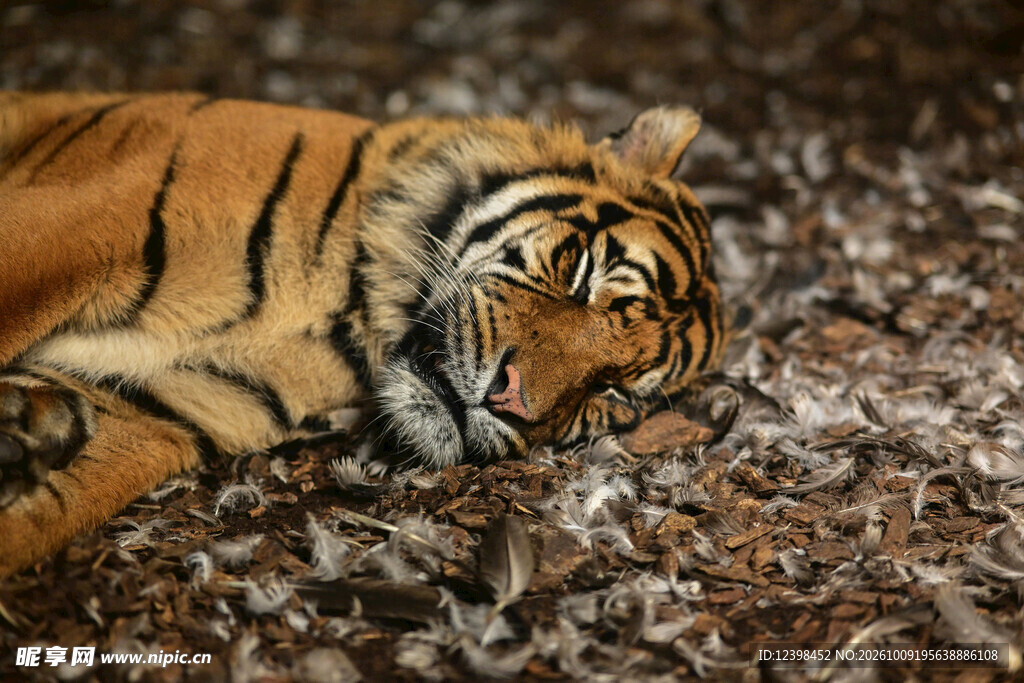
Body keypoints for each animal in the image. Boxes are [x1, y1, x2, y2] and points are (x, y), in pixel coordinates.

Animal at [0, 92, 726, 577]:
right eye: (581, 275)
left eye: (613, 392)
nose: (511, 402)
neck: (344, 316)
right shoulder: (83, 221)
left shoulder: (153, 409)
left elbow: (43, 516)